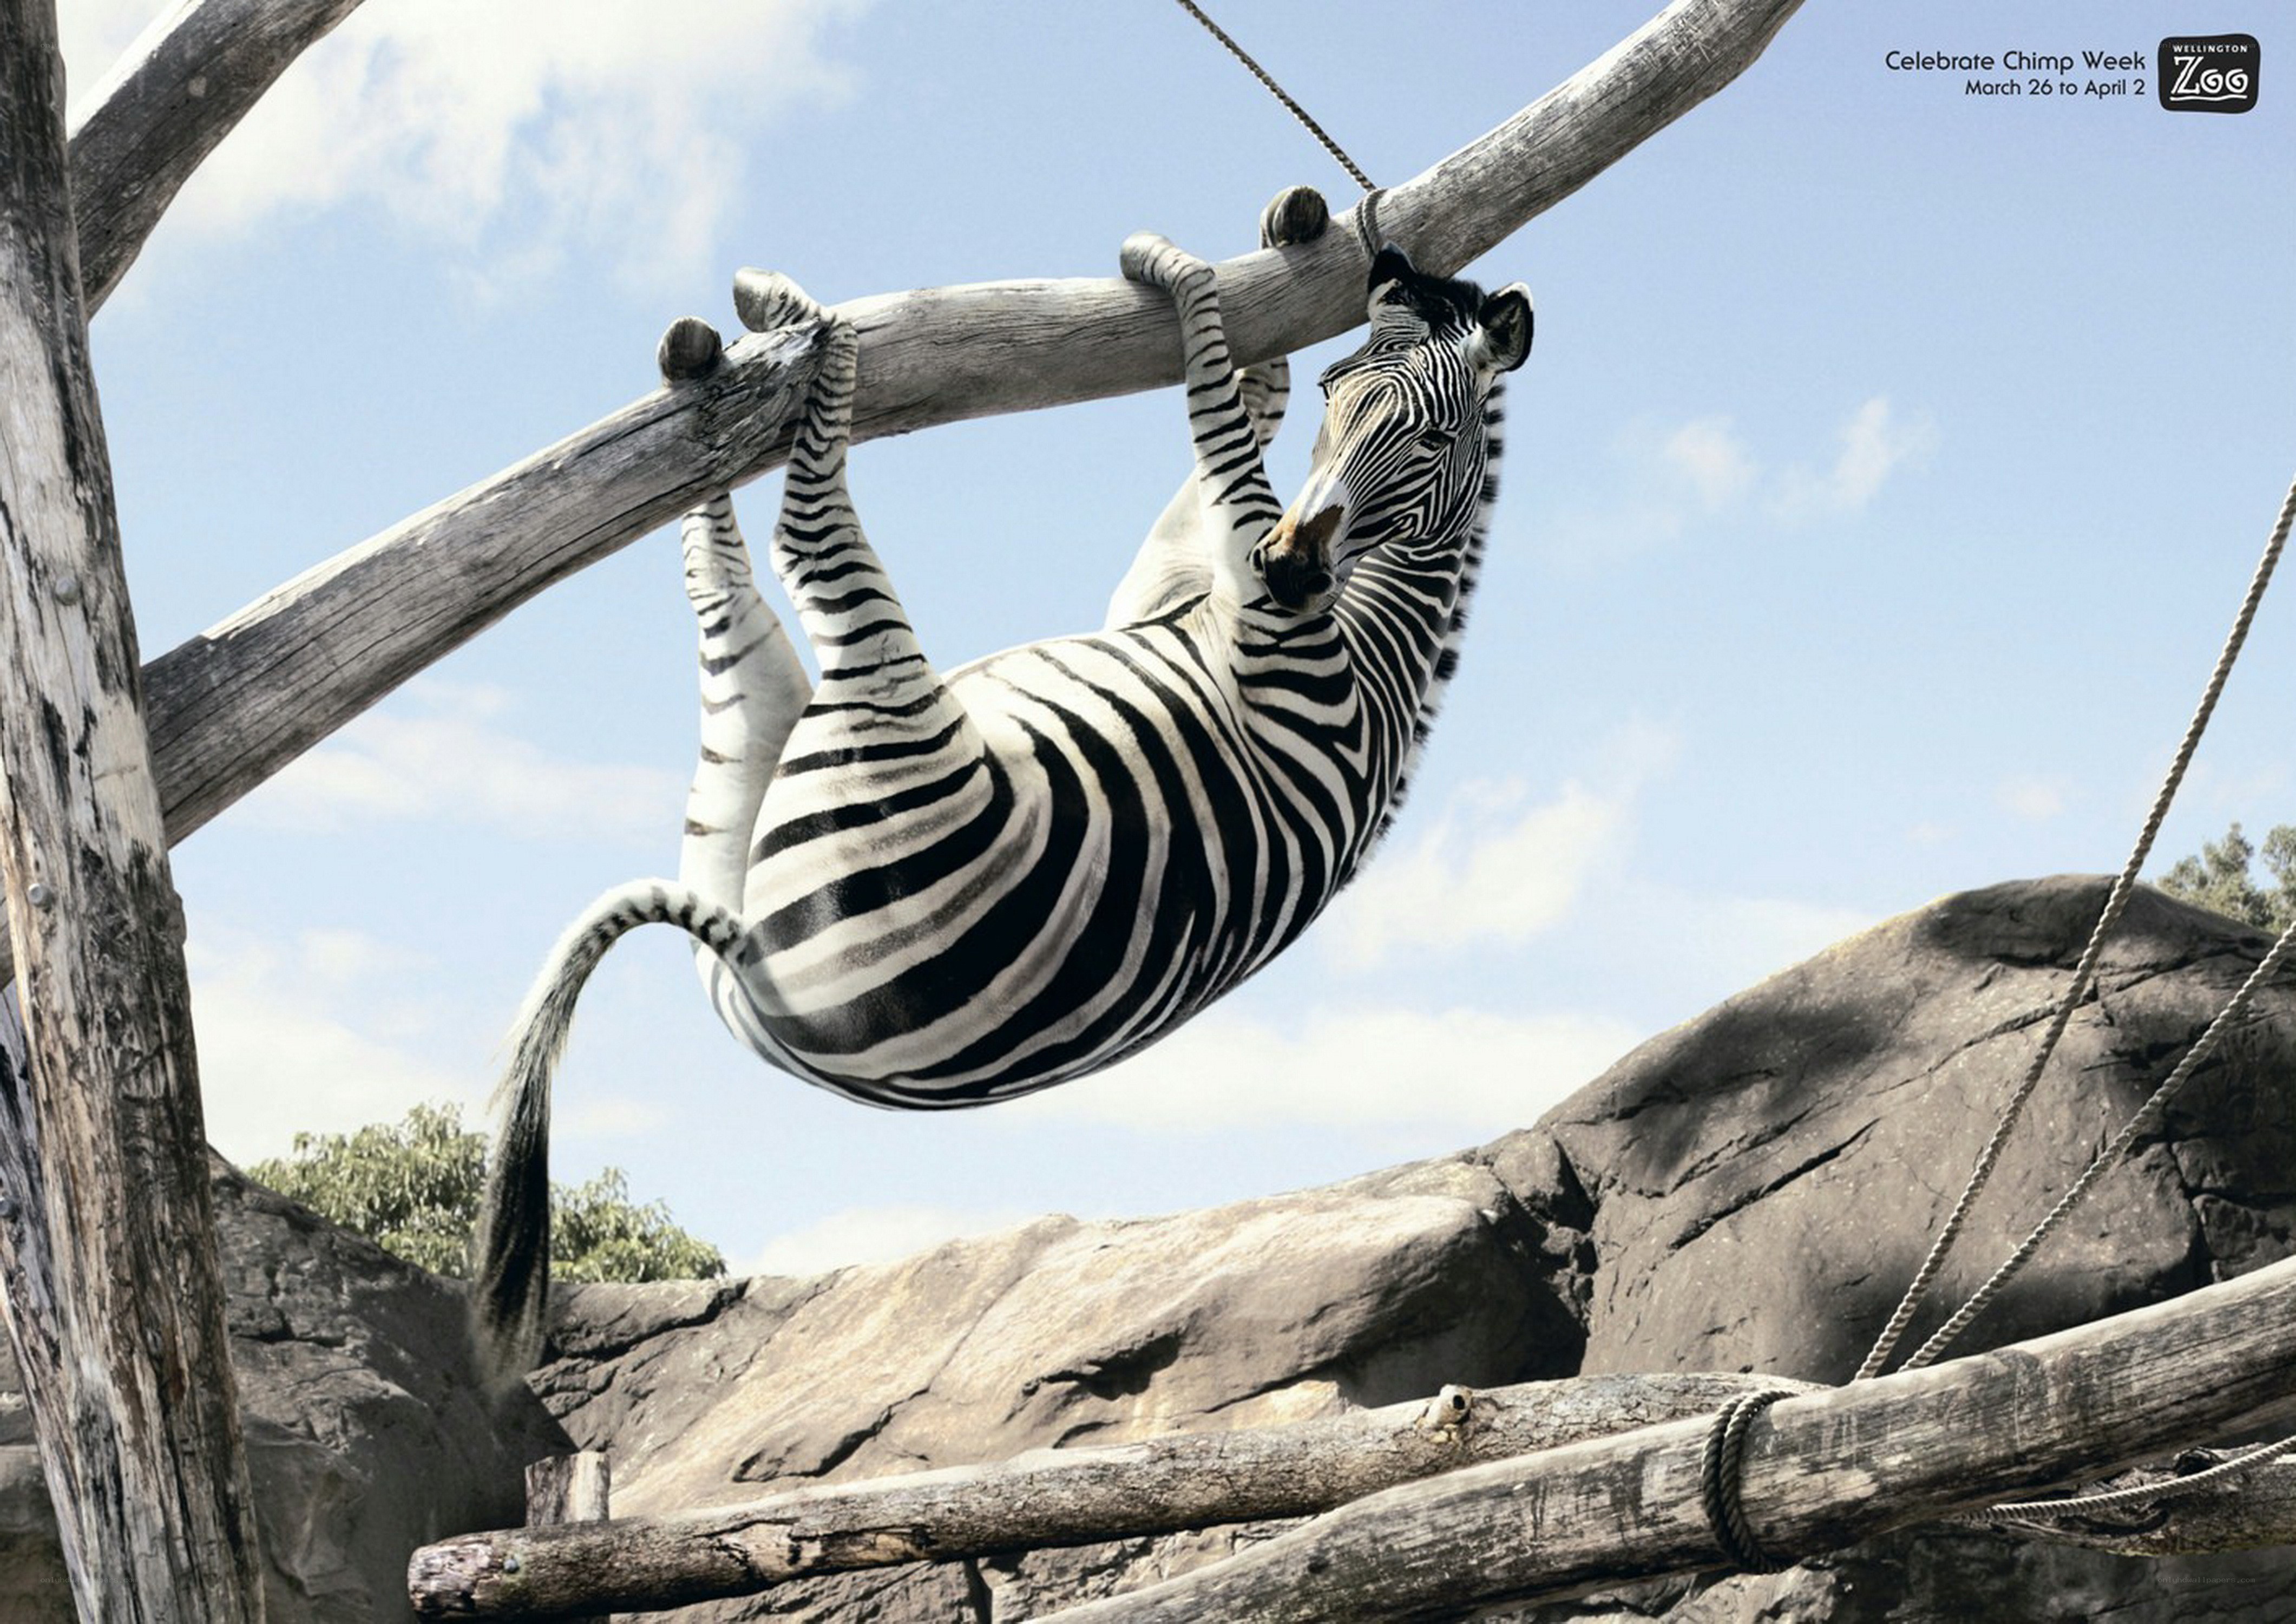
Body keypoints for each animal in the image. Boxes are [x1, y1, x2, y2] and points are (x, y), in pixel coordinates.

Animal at [474, 186, 1532, 1379]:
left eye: (1432, 435)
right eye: (1337, 395)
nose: (1290, 565)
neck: (1374, 636)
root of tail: (756, 975)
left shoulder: (1267, 633)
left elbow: (1215, 419)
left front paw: (1171, 268)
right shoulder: (1172, 588)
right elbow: (1230, 420)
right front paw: (1269, 242)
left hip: (875, 714)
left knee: (805, 532)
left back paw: (805, 332)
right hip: (739, 773)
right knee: (719, 576)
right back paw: (710, 375)